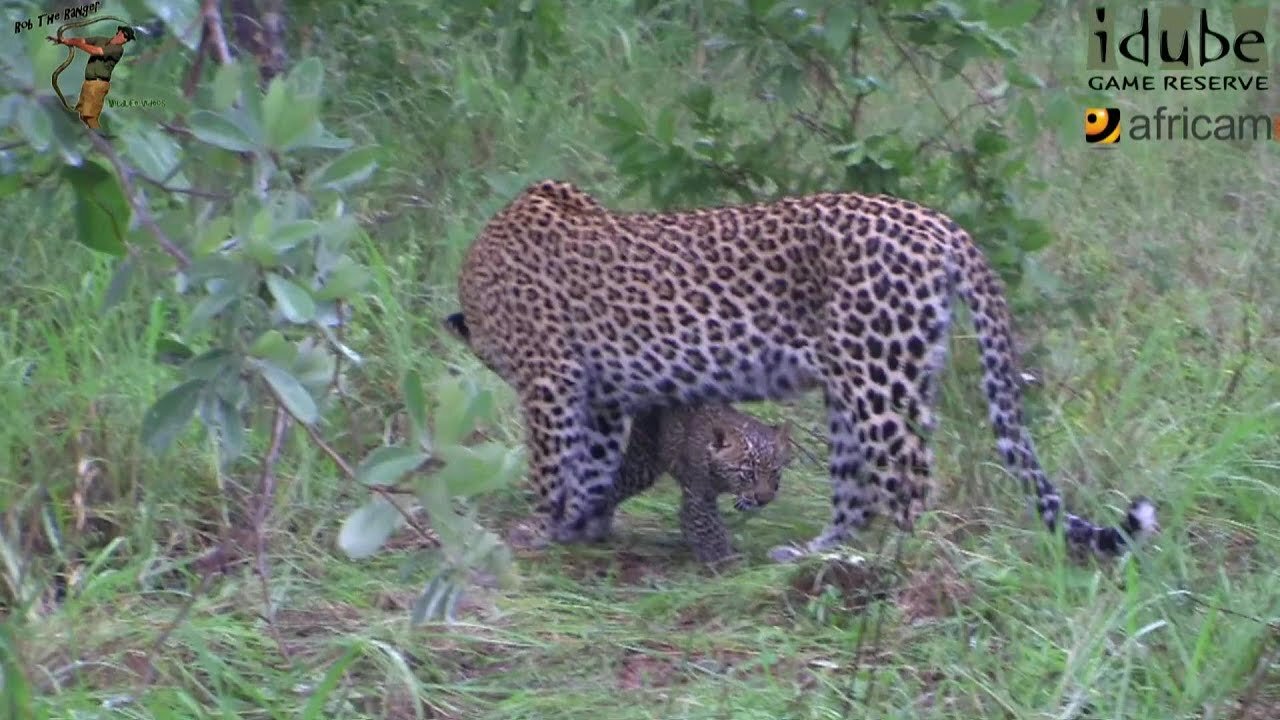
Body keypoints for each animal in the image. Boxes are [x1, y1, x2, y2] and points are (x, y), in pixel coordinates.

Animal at [455, 179, 1157, 561]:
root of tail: (940, 224)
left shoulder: (550, 378)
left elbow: (553, 461)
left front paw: (541, 530)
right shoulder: (598, 393)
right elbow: (594, 461)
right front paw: (583, 525)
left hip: (877, 379)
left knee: (909, 479)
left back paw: (891, 563)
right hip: (860, 383)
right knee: (858, 492)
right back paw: (814, 554)